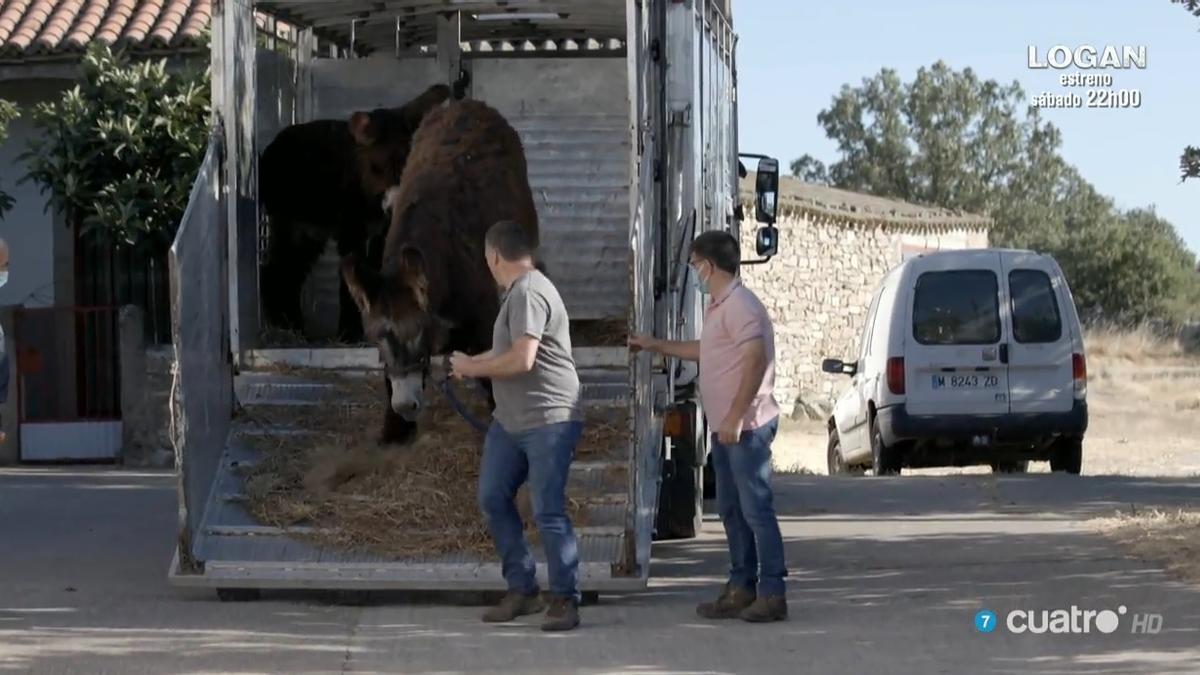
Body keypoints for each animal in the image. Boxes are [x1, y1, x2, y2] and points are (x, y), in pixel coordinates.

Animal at [343, 98, 540, 441]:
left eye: (419, 332)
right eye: (378, 337)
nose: (405, 406)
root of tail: (467, 103)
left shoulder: (485, 324)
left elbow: (493, 377)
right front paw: (395, 431)